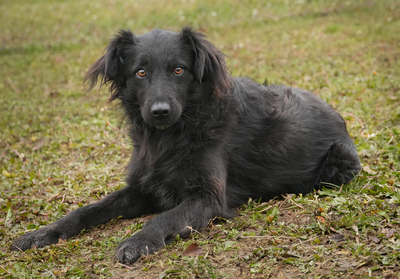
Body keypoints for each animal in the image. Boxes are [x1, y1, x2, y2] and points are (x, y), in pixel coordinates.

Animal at [11, 26, 360, 264]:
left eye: (179, 70)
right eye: (140, 72)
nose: (159, 111)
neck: (172, 135)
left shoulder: (207, 198)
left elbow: (163, 218)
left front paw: (138, 241)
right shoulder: (144, 187)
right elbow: (87, 210)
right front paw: (41, 233)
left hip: (339, 163)